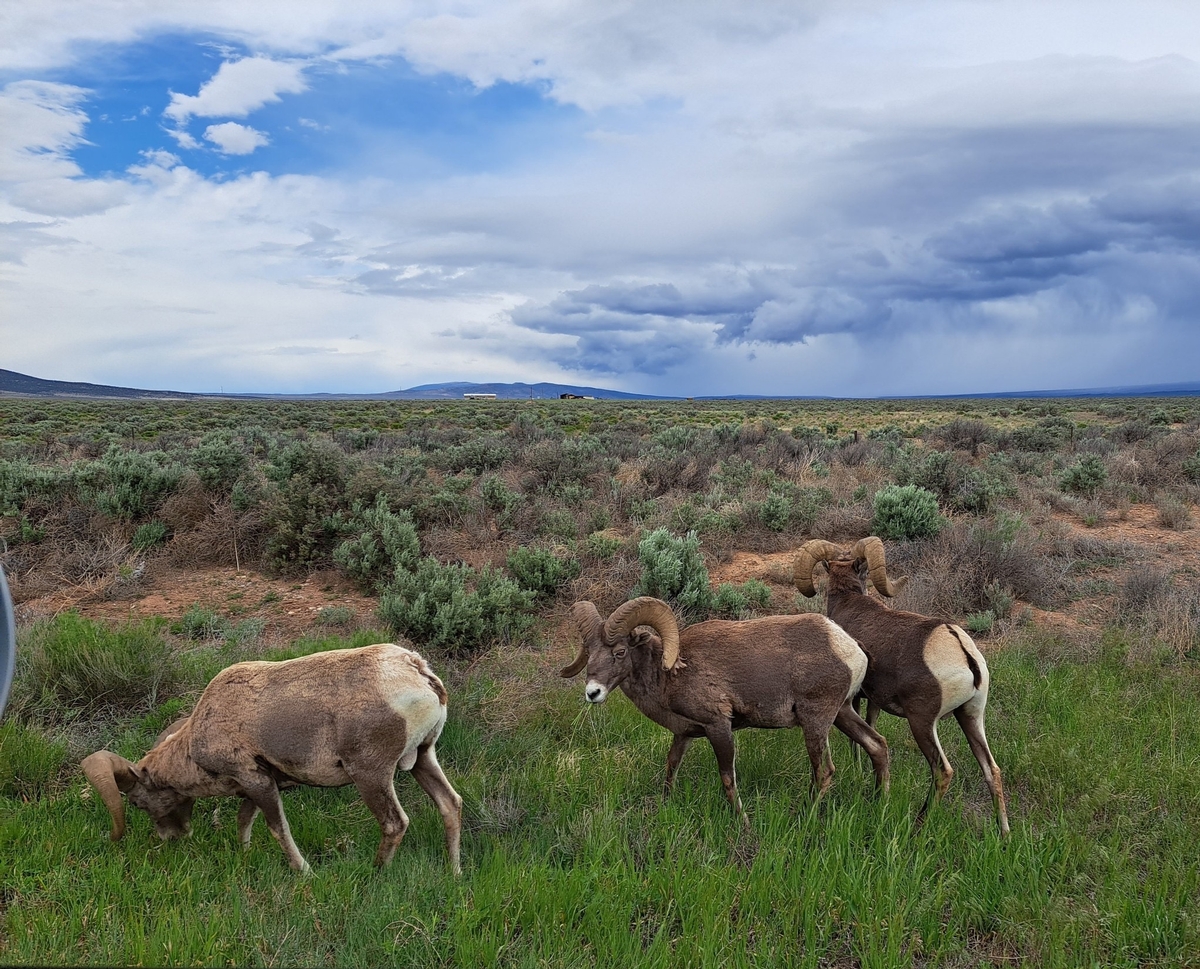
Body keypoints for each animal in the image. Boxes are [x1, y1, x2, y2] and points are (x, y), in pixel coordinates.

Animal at [81, 647, 463, 873]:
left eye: (138, 803)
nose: (171, 838)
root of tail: (417, 671)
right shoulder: (257, 784)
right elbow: (244, 822)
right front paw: (245, 855)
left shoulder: (257, 782)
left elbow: (277, 828)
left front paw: (304, 872)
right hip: (423, 759)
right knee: (450, 804)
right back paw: (454, 871)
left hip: (372, 775)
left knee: (395, 823)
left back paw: (376, 872)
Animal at [556, 594, 888, 820]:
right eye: (589, 652)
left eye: (621, 652)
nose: (593, 692)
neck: (669, 675)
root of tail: (850, 648)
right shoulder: (684, 734)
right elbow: (670, 768)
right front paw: (665, 806)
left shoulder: (719, 727)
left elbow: (728, 779)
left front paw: (742, 822)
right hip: (842, 713)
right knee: (877, 746)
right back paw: (879, 800)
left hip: (816, 721)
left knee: (825, 771)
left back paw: (806, 816)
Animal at [796, 537, 1012, 834]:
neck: (848, 604)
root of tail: (960, 647)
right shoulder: (874, 702)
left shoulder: (855, 698)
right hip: (971, 717)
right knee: (992, 770)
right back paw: (1004, 833)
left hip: (922, 722)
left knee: (942, 771)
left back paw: (918, 826)